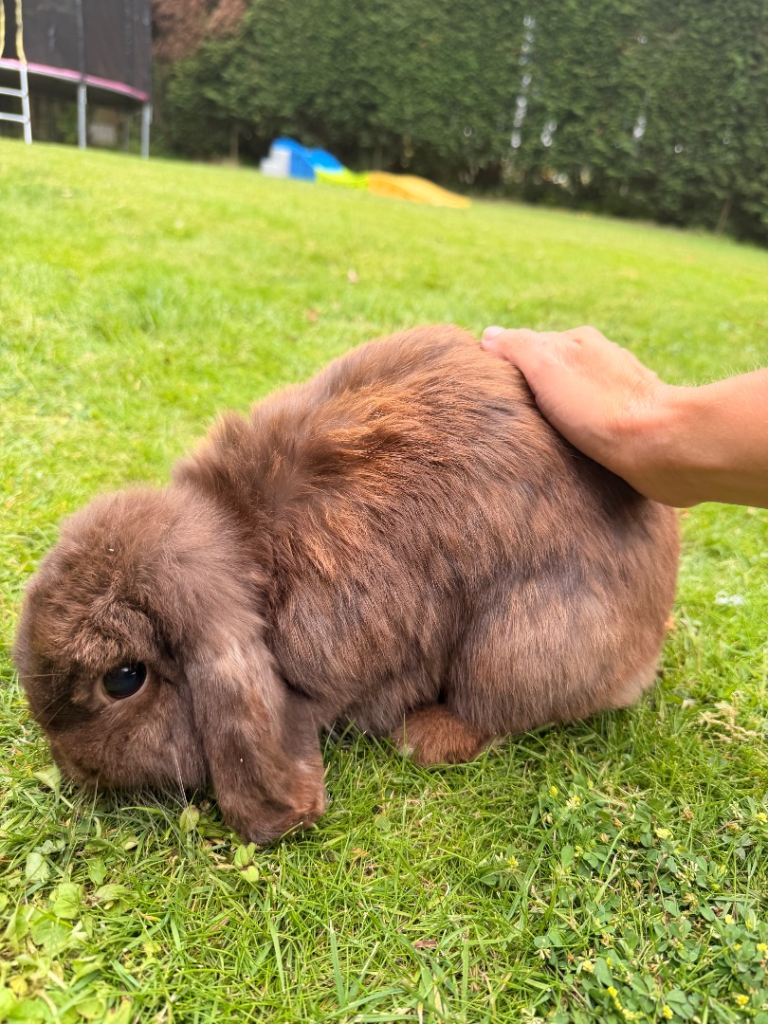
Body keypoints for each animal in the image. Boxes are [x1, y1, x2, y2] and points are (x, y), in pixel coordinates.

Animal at [14, 325, 679, 843]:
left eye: (124, 679)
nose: (71, 767)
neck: (245, 546)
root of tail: (647, 644)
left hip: (516, 642)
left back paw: (422, 737)